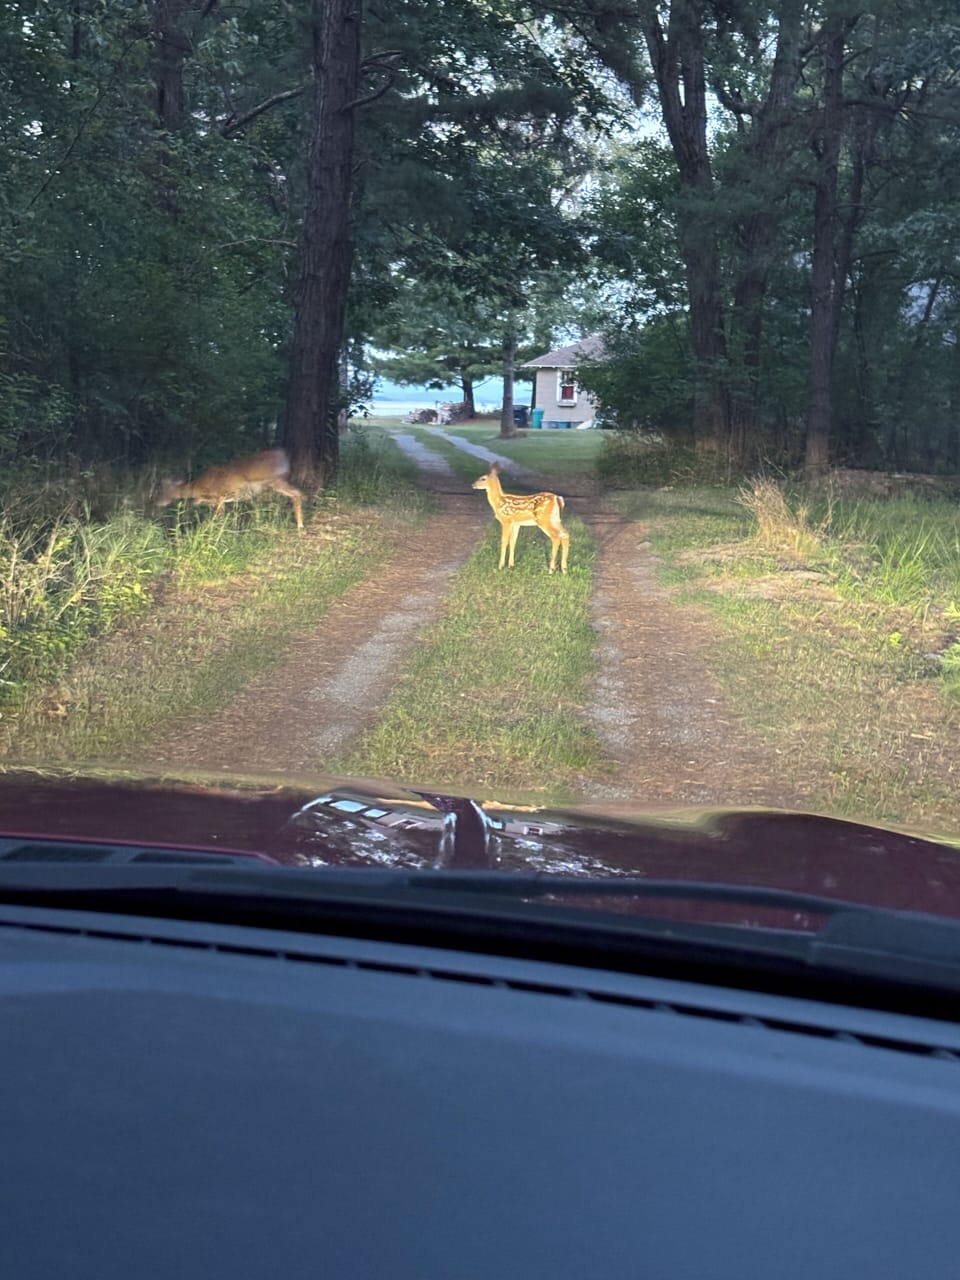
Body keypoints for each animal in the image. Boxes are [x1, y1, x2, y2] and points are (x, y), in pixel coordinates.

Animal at [157, 448, 304, 530]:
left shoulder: (220, 496)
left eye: (165, 490)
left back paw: (300, 526)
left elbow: (219, 516)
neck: (198, 486)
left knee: (297, 493)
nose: (158, 502)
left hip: (276, 481)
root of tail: (284, 457)